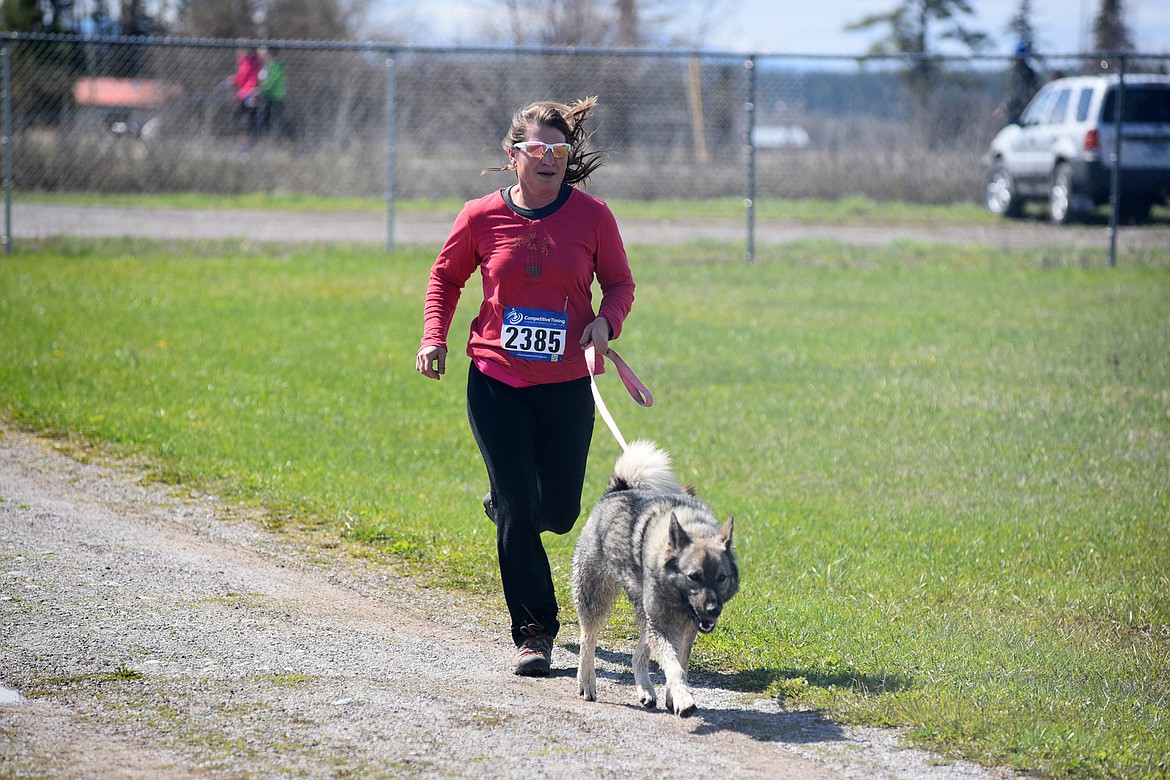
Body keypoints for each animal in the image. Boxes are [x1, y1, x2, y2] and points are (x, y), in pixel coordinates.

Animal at [568, 442, 739, 715]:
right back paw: (586, 683)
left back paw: (646, 690)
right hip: (596, 596)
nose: (713, 610)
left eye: (721, 577)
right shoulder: (662, 624)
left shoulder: (684, 627)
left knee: (638, 655)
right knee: (588, 638)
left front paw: (674, 696)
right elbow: (673, 665)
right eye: (694, 576)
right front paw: (683, 698)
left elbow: (679, 662)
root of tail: (617, 489)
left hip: (646, 613)